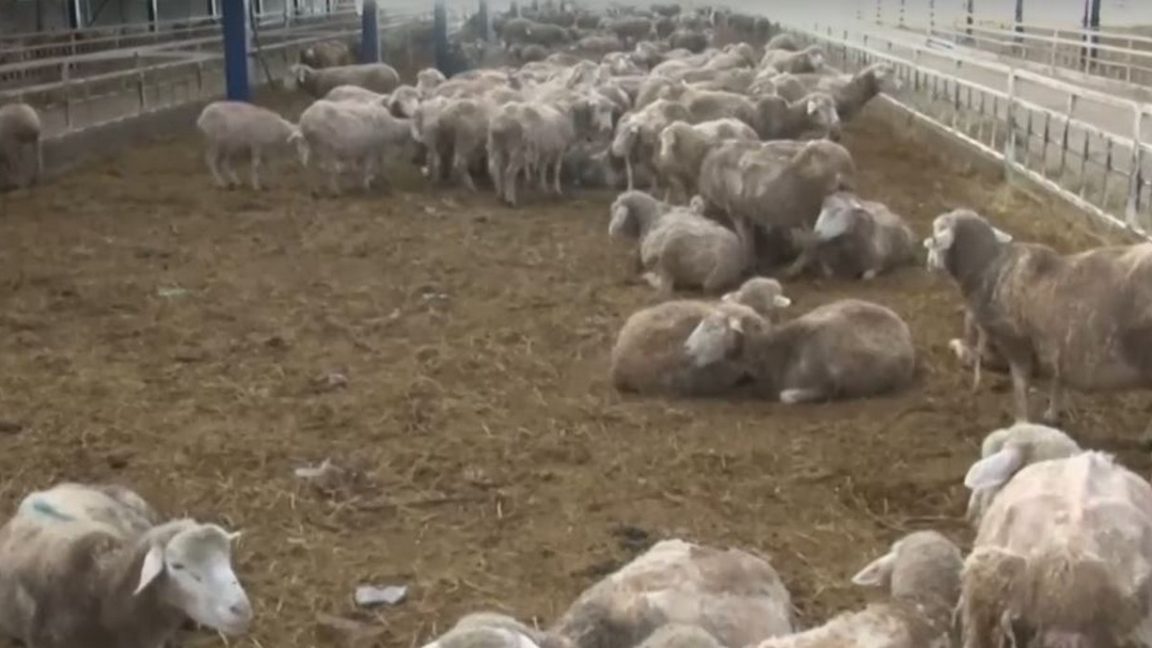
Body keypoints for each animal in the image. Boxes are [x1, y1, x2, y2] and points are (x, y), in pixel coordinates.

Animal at [923, 208, 1152, 424]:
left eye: (935, 235)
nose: (929, 264)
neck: (988, 267)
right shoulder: (1058, 347)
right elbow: (1057, 380)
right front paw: (1051, 415)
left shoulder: (1015, 344)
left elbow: (1020, 387)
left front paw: (1022, 422)